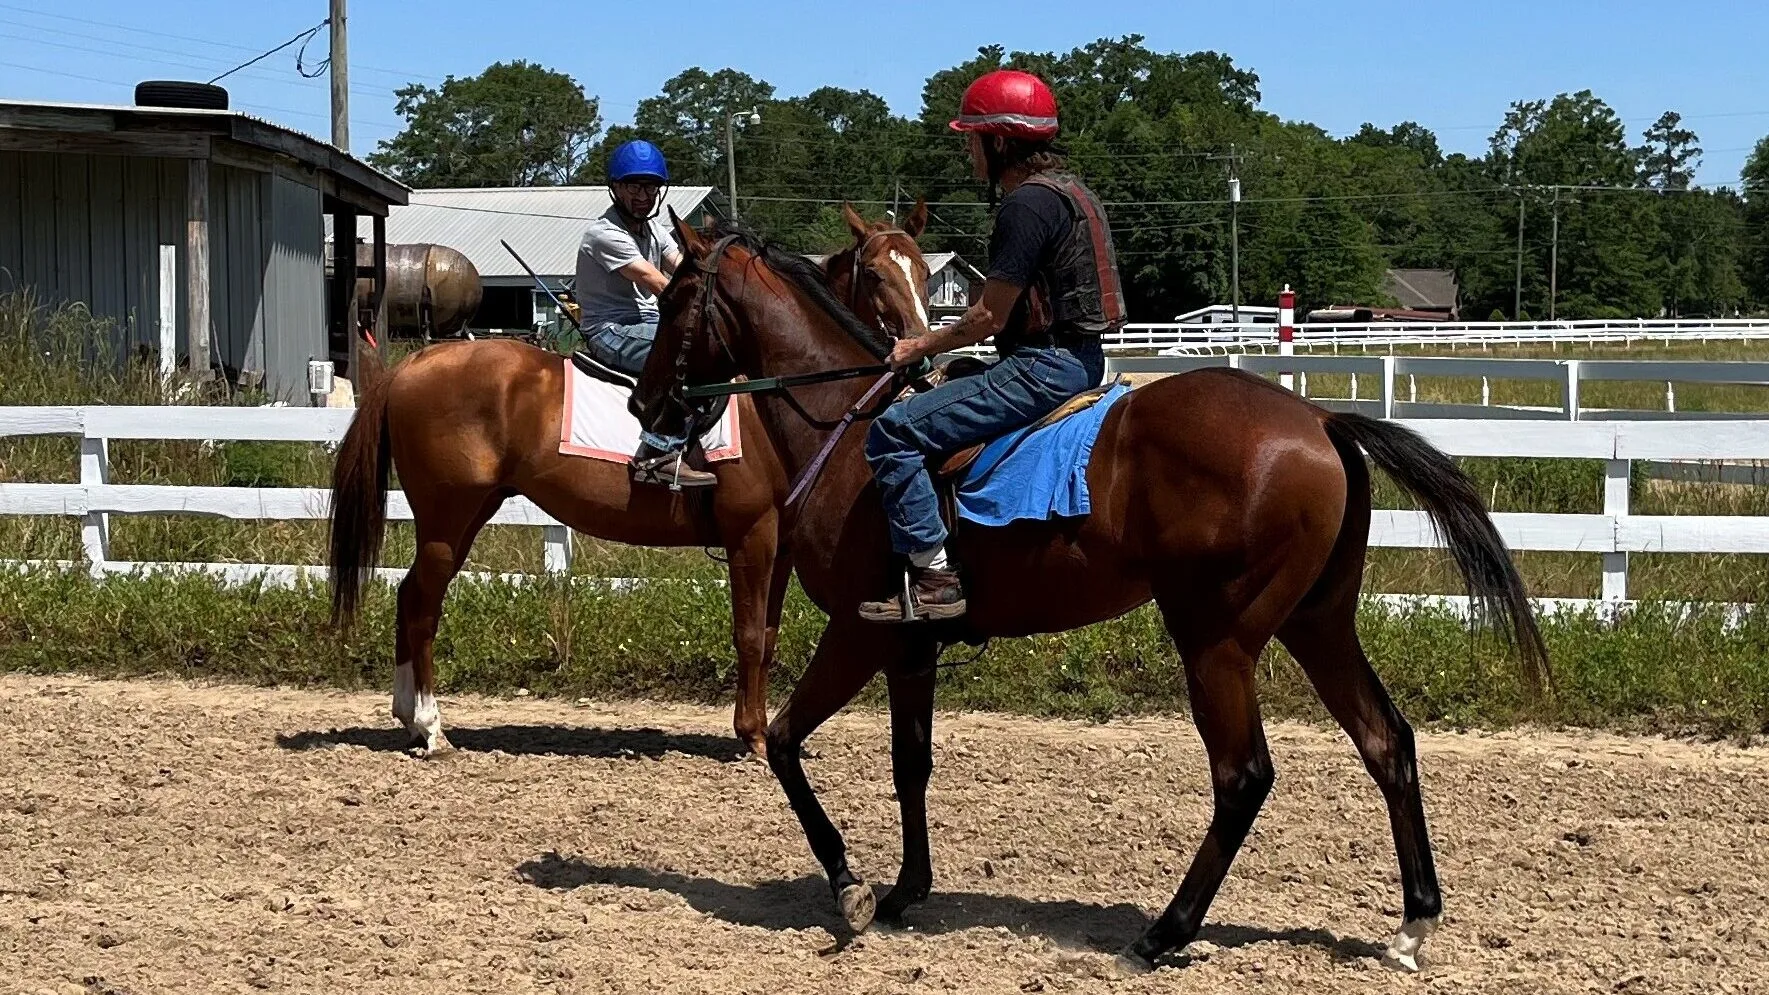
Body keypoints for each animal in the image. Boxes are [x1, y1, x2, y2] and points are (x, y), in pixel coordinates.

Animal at [327, 205, 934, 754]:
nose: (920, 353)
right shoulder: (752, 536)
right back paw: (430, 728)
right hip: (447, 518)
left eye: (924, 271)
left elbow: (768, 635)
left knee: (410, 594)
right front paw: (754, 736)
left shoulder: (778, 545)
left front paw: (760, 729)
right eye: (875, 274)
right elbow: (748, 635)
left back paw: (409, 718)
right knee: (422, 602)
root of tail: (412, 365)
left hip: (469, 514)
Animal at [633, 215, 1549, 970]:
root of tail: (1319, 420)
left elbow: (785, 742)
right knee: (1385, 742)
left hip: (1215, 639)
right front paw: (903, 889)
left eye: (674, 295)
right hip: (1317, 625)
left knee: (1242, 775)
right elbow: (909, 763)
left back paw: (1165, 930)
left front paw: (850, 886)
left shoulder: (859, 636)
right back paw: (1412, 920)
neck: (852, 436)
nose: (645, 399)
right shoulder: (909, 649)